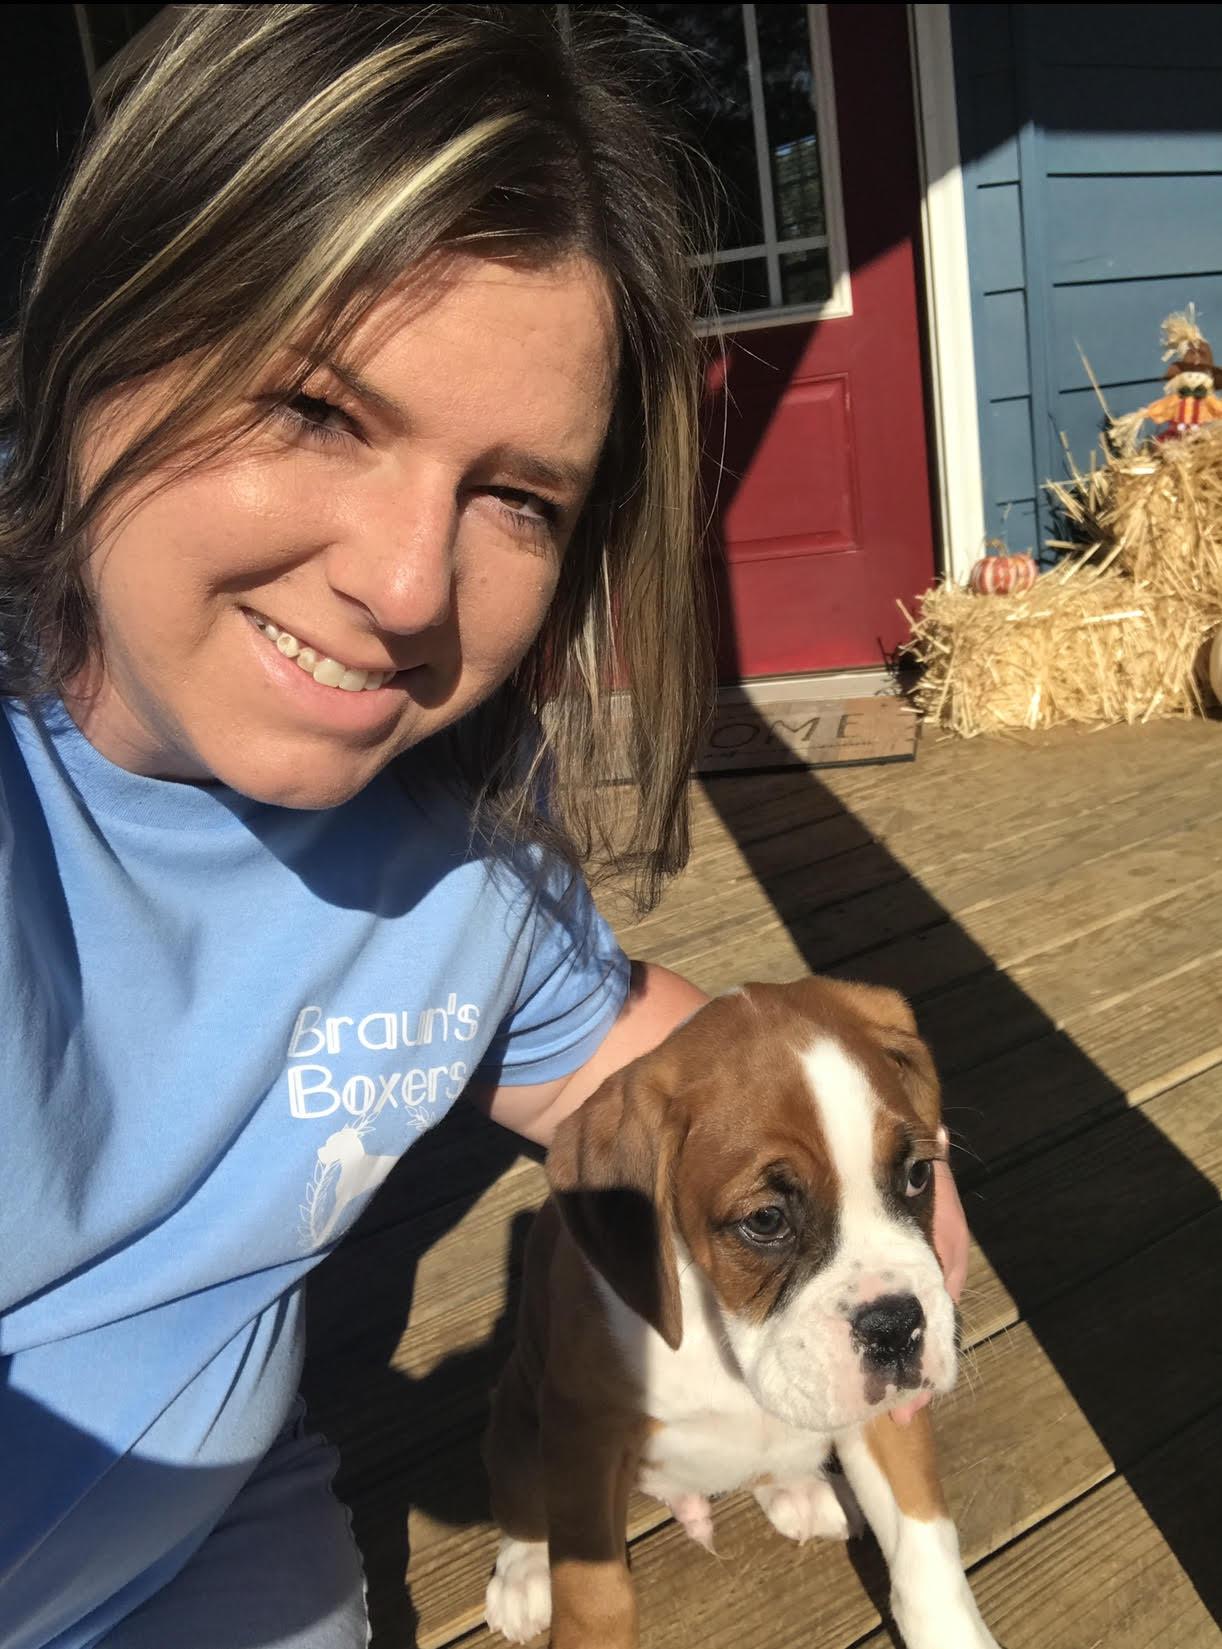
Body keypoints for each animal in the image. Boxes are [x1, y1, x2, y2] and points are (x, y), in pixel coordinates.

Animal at [483, 977, 1001, 1649]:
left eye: (917, 1175)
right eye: (766, 1220)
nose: (895, 1328)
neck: (722, 1331)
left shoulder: (890, 1414)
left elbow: (926, 1553)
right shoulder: (583, 1434)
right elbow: (595, 1596)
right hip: (518, 1406)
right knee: (520, 1494)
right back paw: (523, 1576)